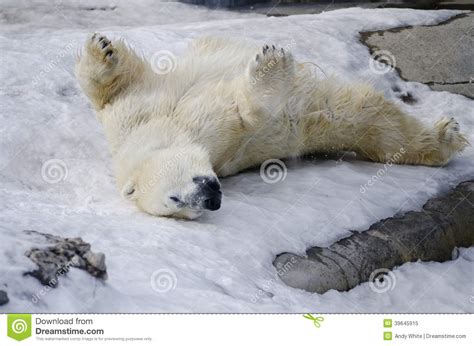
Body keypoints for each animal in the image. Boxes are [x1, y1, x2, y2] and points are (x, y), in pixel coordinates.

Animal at [76, 33, 468, 218]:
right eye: (179, 207)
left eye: (173, 197)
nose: (211, 199)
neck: (168, 129)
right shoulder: (225, 150)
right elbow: (254, 117)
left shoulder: (135, 115)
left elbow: (111, 89)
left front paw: (101, 49)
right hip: (324, 120)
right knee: (372, 122)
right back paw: (444, 139)